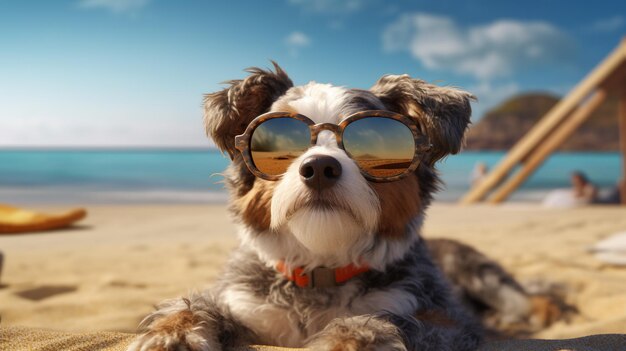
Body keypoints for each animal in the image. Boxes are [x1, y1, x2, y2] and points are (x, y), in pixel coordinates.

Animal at [128, 64, 544, 351]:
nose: (319, 168)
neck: (322, 266)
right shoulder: (250, 308)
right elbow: (196, 304)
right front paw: (173, 332)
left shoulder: (447, 322)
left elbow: (390, 319)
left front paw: (349, 338)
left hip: (478, 272)